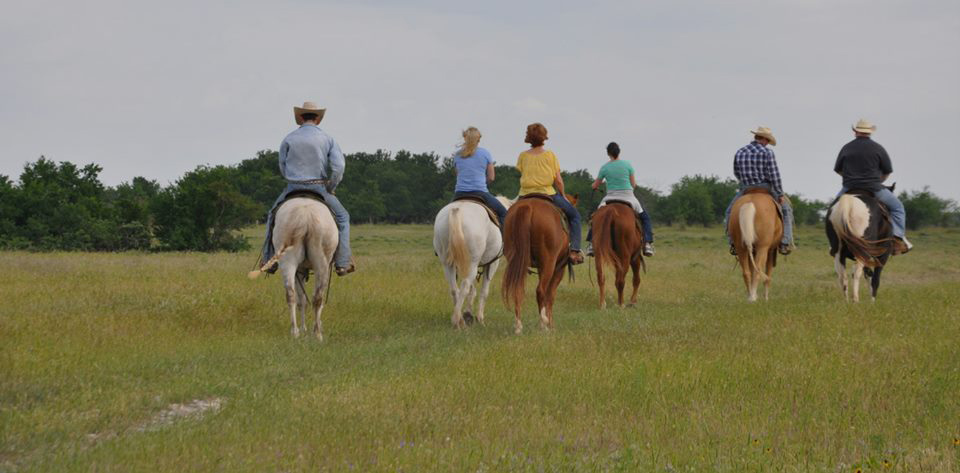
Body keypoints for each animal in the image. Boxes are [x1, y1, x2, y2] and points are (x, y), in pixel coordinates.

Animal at [249, 195, 340, 340]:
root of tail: (304, 215)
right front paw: (312, 327)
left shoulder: (300, 270)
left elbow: (301, 300)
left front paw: (303, 329)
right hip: (322, 263)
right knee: (318, 298)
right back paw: (317, 334)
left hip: (288, 261)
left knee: (291, 295)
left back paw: (295, 332)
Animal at [434, 195, 512, 328]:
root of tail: (457, 211)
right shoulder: (492, 263)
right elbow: (484, 292)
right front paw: (479, 318)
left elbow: (472, 290)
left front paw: (468, 313)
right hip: (472, 263)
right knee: (464, 286)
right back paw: (457, 321)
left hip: (448, 264)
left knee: (454, 289)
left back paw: (460, 319)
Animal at [502, 192, 576, 332]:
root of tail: (528, 207)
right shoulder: (559, 268)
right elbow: (550, 295)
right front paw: (551, 324)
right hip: (549, 263)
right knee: (540, 290)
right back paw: (543, 324)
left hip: (517, 261)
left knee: (518, 289)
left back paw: (518, 326)